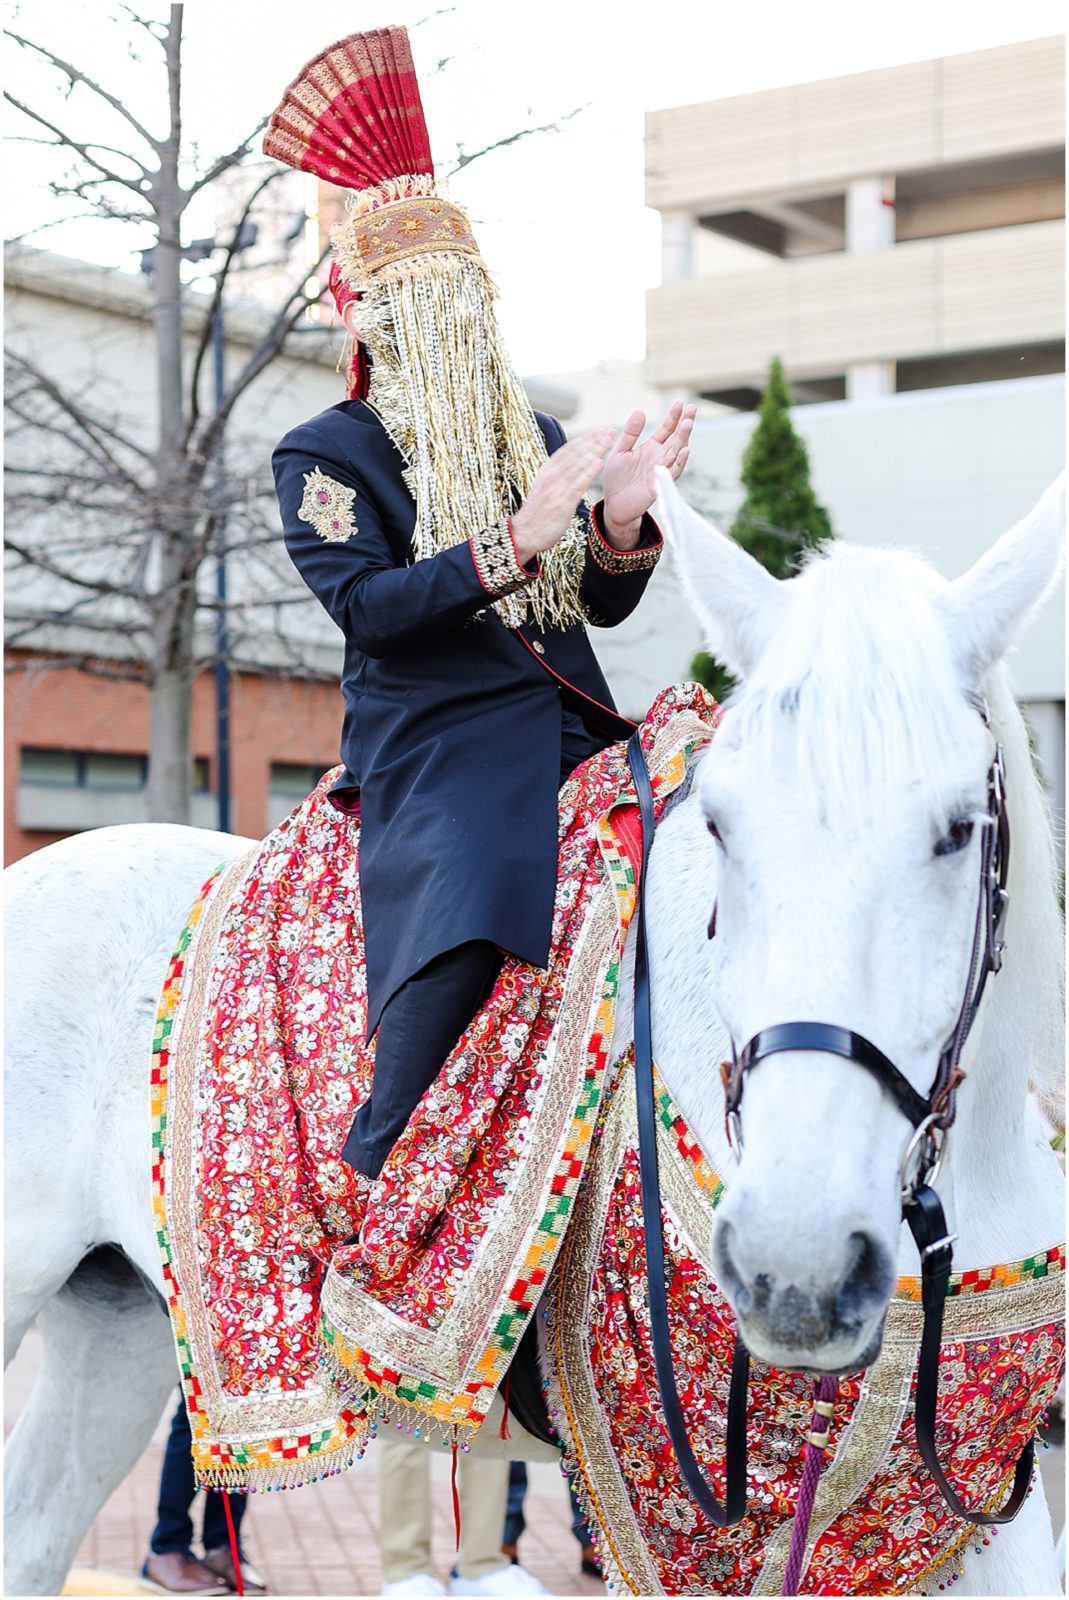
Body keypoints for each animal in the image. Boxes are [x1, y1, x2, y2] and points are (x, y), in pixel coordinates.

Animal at [4, 467, 1062, 1593]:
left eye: (957, 828)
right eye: (721, 824)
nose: (798, 1269)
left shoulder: (960, 1500)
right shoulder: (686, 1513)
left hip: (117, 1324)